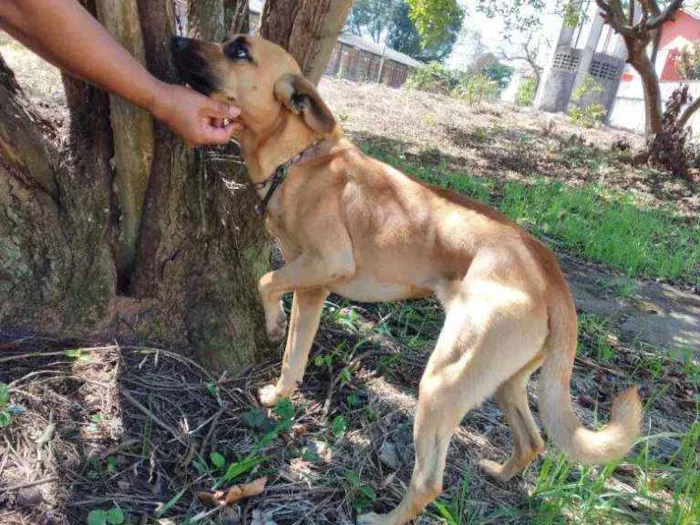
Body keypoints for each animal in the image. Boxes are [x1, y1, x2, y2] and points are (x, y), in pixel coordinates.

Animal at [172, 34, 644, 520]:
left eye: (239, 51)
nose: (175, 39)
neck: (300, 157)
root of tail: (547, 268)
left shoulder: (327, 261)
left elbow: (266, 282)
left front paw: (271, 324)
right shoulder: (313, 287)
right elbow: (294, 354)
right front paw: (282, 393)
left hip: (442, 382)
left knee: (429, 482)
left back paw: (383, 517)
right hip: (506, 383)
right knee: (532, 442)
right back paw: (500, 474)